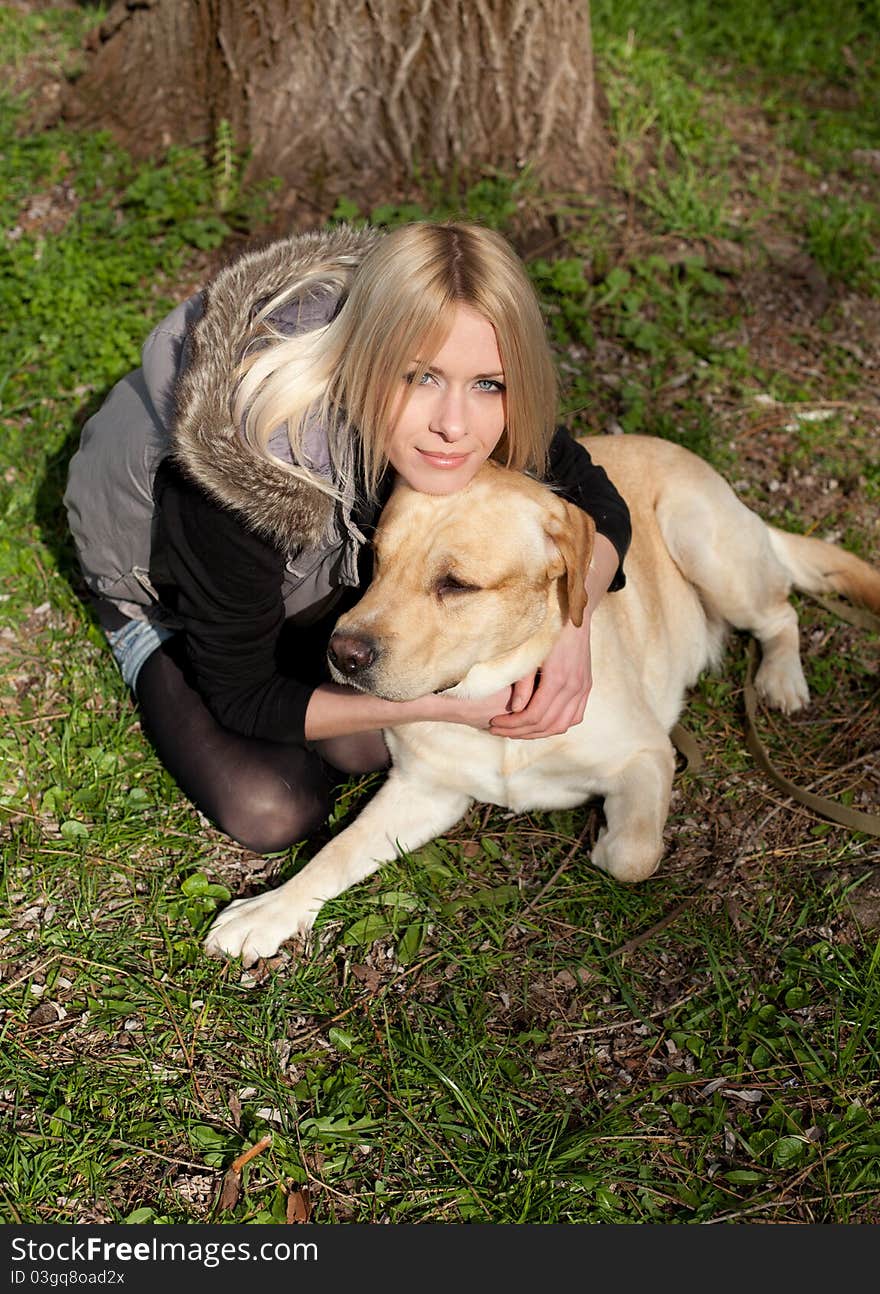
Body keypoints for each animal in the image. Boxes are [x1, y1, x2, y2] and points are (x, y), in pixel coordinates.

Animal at [205, 432, 880, 962]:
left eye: (456, 584)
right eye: (376, 560)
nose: (341, 653)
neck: (496, 686)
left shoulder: (647, 755)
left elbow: (634, 854)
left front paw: (605, 839)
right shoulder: (424, 789)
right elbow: (336, 851)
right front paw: (269, 911)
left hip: (700, 538)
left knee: (782, 615)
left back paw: (781, 680)